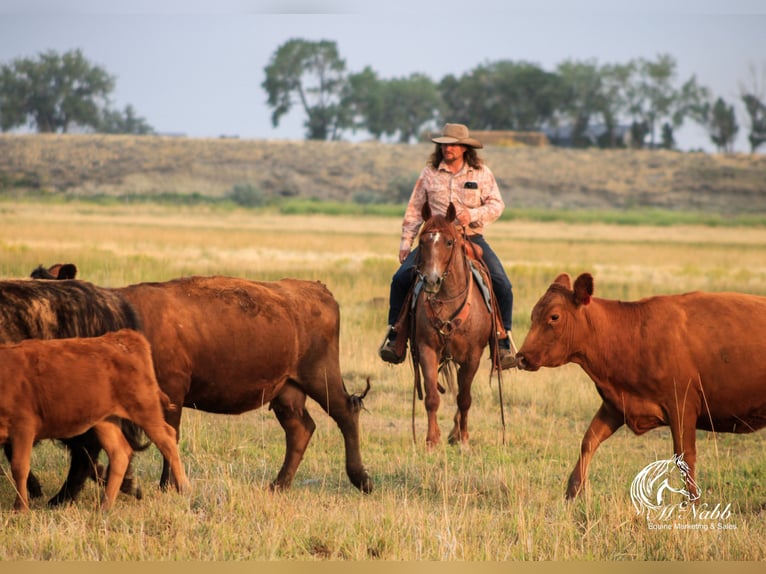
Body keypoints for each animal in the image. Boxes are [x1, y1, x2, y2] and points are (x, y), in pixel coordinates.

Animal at [0, 328, 189, 512]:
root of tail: (123, 337)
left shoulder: (23, 427)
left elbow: (19, 467)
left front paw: (21, 508)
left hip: (145, 409)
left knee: (167, 439)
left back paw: (184, 488)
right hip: (105, 421)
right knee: (119, 452)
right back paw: (105, 506)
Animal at [414, 202, 498, 450]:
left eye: (449, 242)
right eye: (422, 241)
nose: (431, 280)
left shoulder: (472, 357)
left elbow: (464, 399)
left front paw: (463, 439)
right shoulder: (427, 349)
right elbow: (432, 396)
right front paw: (432, 440)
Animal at [512, 272, 766, 502]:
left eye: (554, 317)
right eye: (533, 315)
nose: (521, 357)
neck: (631, 337)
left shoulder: (682, 407)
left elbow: (685, 457)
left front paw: (691, 503)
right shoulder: (615, 406)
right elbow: (588, 441)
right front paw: (572, 492)